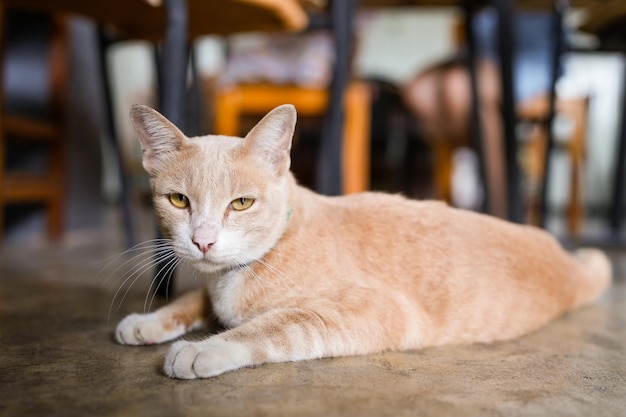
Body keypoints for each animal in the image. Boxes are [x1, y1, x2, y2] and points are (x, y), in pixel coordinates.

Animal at [113, 103, 608, 376]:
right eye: (179, 200)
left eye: (241, 203)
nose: (203, 241)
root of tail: (563, 256)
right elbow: (193, 299)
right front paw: (150, 321)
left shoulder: (373, 310)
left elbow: (272, 326)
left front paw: (204, 349)